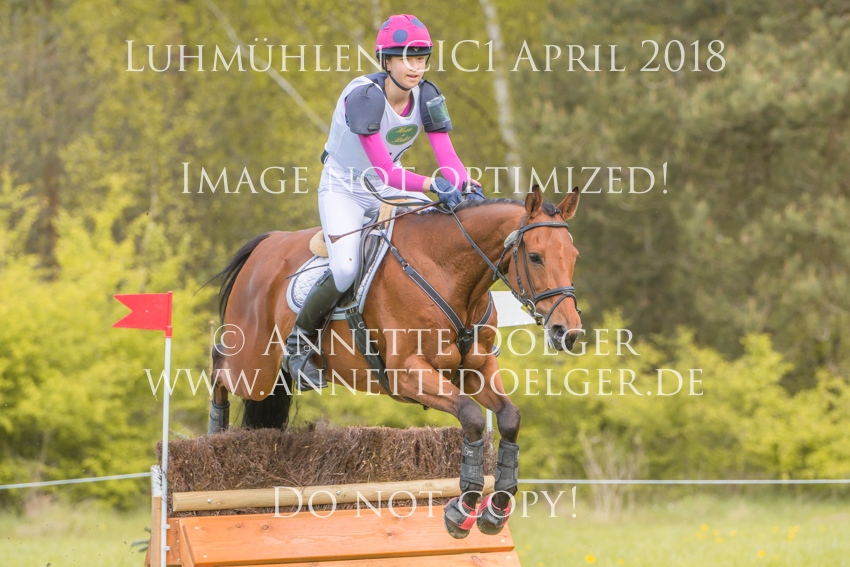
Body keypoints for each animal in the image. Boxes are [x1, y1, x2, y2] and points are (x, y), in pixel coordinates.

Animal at [207, 185, 582, 537]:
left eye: (574, 256)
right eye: (535, 257)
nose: (568, 332)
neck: (448, 271)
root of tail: (265, 245)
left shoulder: (476, 369)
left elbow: (508, 417)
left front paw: (495, 510)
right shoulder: (408, 373)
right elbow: (472, 416)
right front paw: (461, 509)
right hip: (253, 366)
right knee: (218, 368)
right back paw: (213, 438)